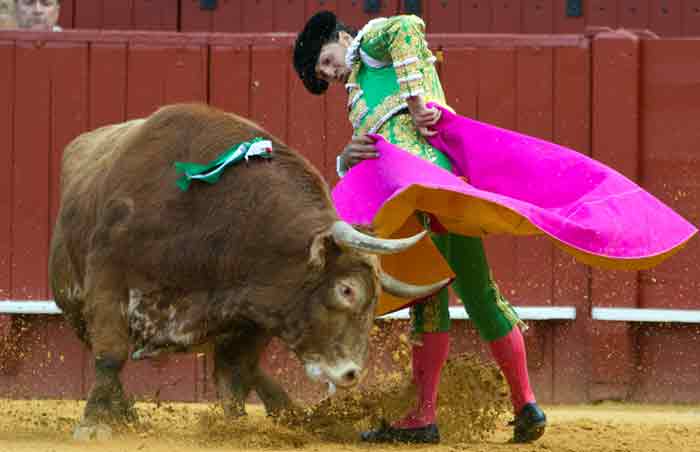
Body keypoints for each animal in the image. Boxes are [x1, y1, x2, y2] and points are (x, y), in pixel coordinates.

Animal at [50, 103, 442, 438]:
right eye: (346, 289)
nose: (350, 374)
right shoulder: (108, 280)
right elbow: (110, 354)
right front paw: (94, 423)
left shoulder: (256, 313)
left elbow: (236, 372)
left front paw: (239, 426)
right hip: (72, 303)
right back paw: (125, 413)